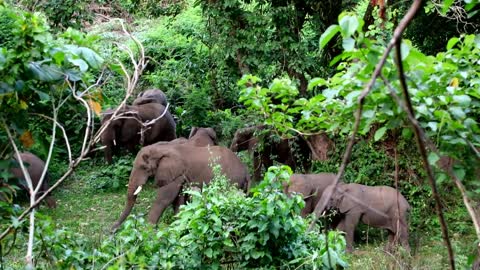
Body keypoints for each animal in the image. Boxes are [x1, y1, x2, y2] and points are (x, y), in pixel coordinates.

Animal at [110, 142, 249, 231]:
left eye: (144, 167)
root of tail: (246, 171)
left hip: (231, 181)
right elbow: (178, 200)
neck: (160, 148)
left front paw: (148, 232)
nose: (112, 230)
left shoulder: (174, 174)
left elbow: (164, 199)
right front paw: (178, 223)